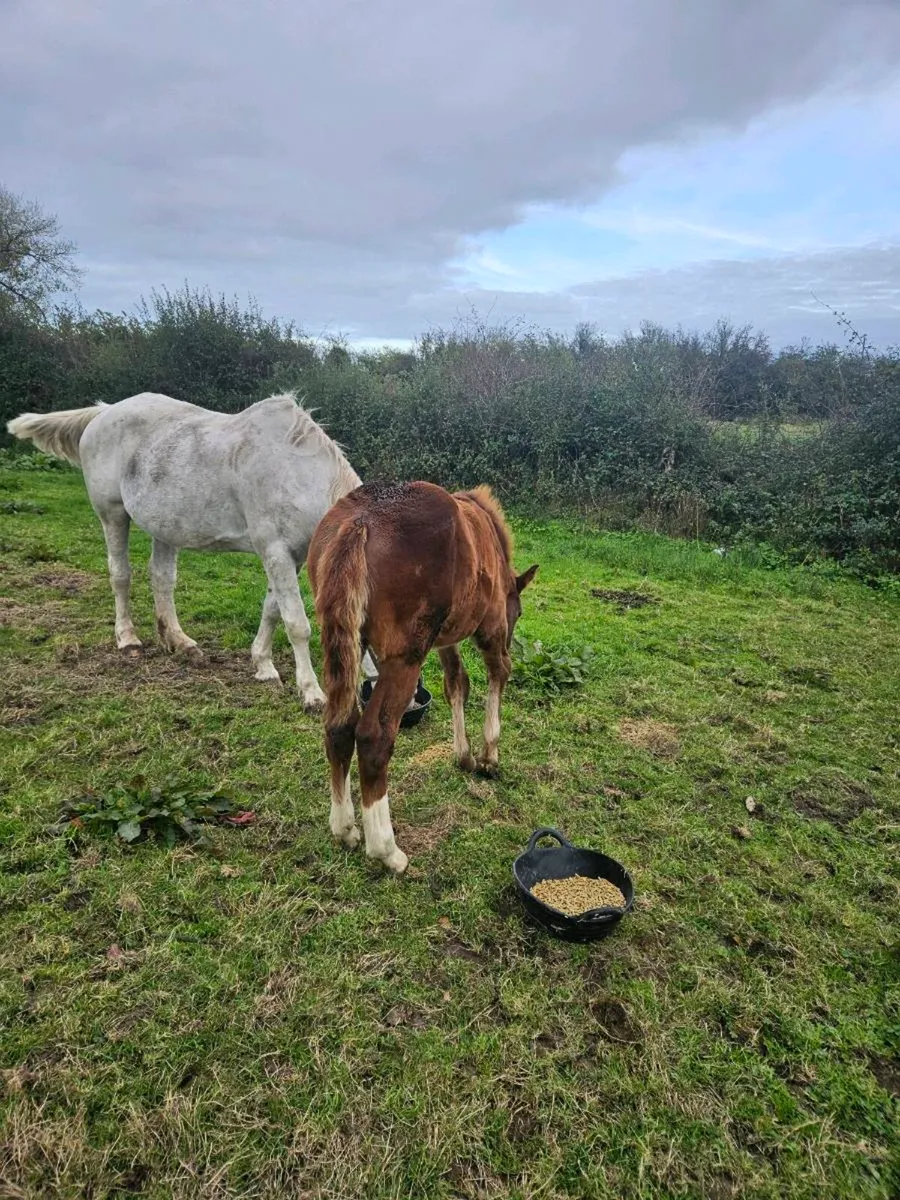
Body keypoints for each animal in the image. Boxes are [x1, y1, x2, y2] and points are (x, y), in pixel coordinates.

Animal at [7, 391, 380, 712]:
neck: (298, 476)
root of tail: (105, 412)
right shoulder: (274, 550)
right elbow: (296, 623)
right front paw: (311, 692)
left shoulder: (294, 556)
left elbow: (272, 609)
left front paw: (263, 666)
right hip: (112, 514)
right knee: (120, 575)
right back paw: (128, 639)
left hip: (164, 524)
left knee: (161, 578)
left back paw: (179, 642)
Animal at [307, 480, 538, 873]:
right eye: (518, 612)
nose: (514, 627)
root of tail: (359, 521)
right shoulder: (490, 626)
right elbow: (498, 674)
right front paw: (489, 756)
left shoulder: (445, 638)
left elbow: (456, 683)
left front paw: (464, 756)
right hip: (405, 657)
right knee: (373, 736)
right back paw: (386, 850)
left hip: (346, 642)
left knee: (338, 728)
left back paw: (345, 829)